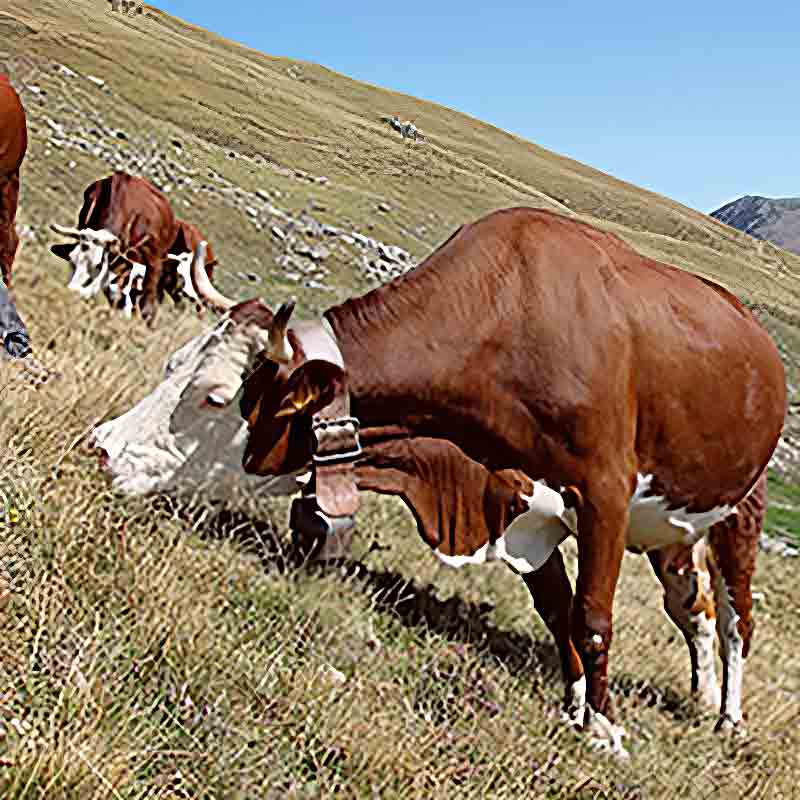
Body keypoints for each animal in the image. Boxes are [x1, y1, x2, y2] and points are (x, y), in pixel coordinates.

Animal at [88, 221, 778, 756]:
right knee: (693, 608)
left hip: (740, 511)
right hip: (671, 528)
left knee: (736, 618)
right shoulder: (522, 510)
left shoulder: (602, 494)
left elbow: (592, 619)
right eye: (173, 362)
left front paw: (604, 729)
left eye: (214, 398)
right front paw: (574, 704)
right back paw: (699, 697)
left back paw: (729, 716)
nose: (102, 446)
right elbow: (558, 615)